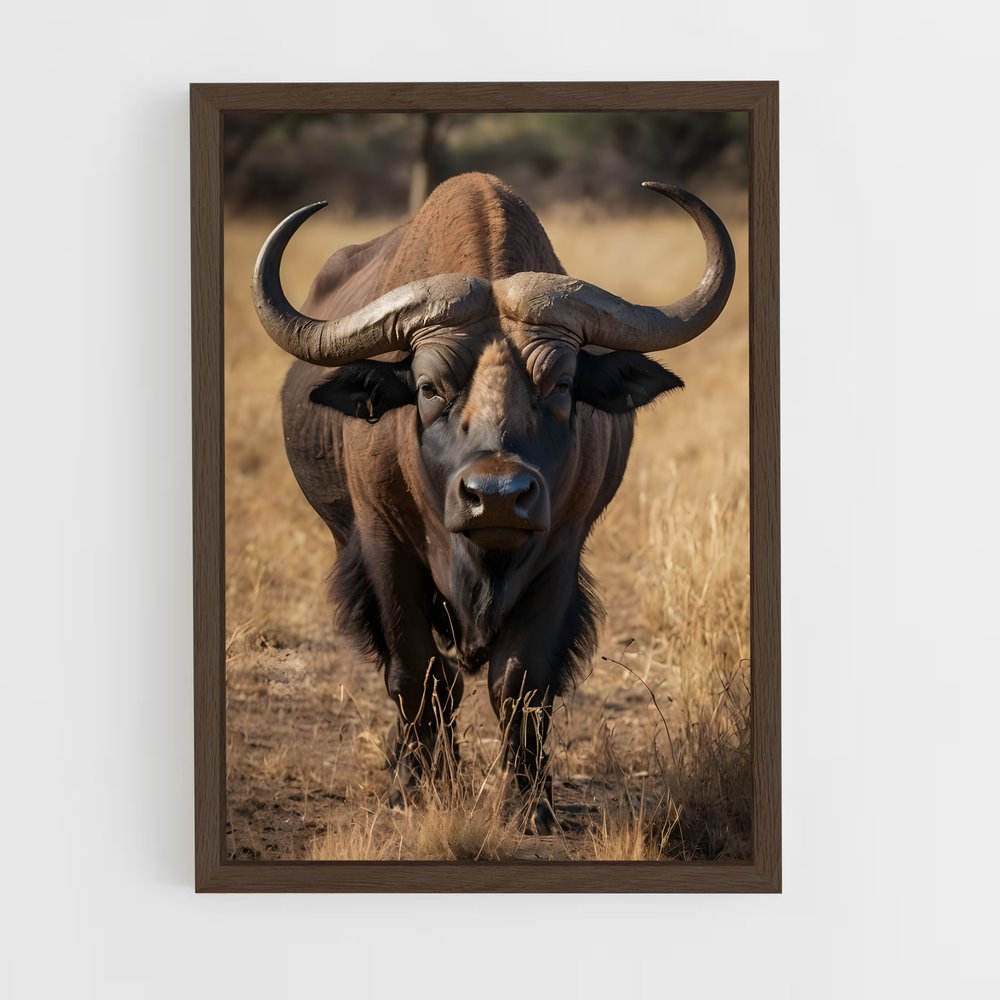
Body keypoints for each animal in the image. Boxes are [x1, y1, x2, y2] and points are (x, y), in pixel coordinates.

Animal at [253, 172, 735, 832]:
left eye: (561, 385)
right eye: (428, 387)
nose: (498, 498)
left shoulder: (560, 552)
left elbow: (520, 680)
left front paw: (530, 804)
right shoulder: (382, 544)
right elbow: (417, 672)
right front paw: (419, 786)